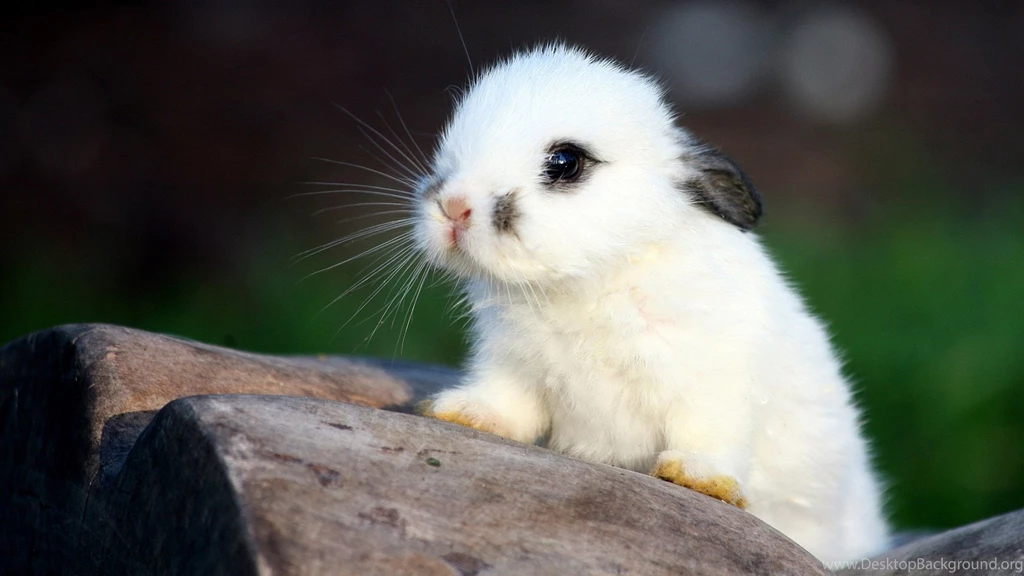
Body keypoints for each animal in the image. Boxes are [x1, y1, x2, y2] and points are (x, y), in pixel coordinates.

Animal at [408, 44, 889, 562]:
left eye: (565, 162)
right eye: (451, 148)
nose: (453, 207)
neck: (590, 282)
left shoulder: (714, 381)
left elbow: (708, 431)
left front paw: (696, 478)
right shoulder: (512, 366)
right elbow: (507, 403)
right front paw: (463, 413)